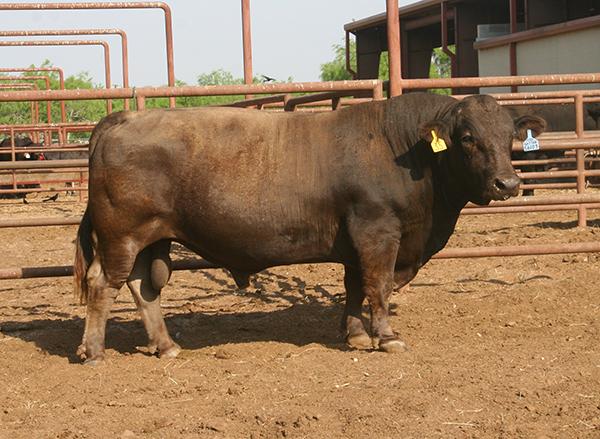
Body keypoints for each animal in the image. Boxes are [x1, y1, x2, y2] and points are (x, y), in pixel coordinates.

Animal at [74, 93, 544, 364]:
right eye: (467, 137)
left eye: (509, 135)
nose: (508, 184)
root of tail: (121, 118)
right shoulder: (378, 232)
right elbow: (378, 286)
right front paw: (386, 337)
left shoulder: (356, 240)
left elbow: (354, 287)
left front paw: (356, 335)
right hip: (122, 235)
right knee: (103, 284)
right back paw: (95, 351)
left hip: (151, 239)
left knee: (142, 287)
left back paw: (166, 346)